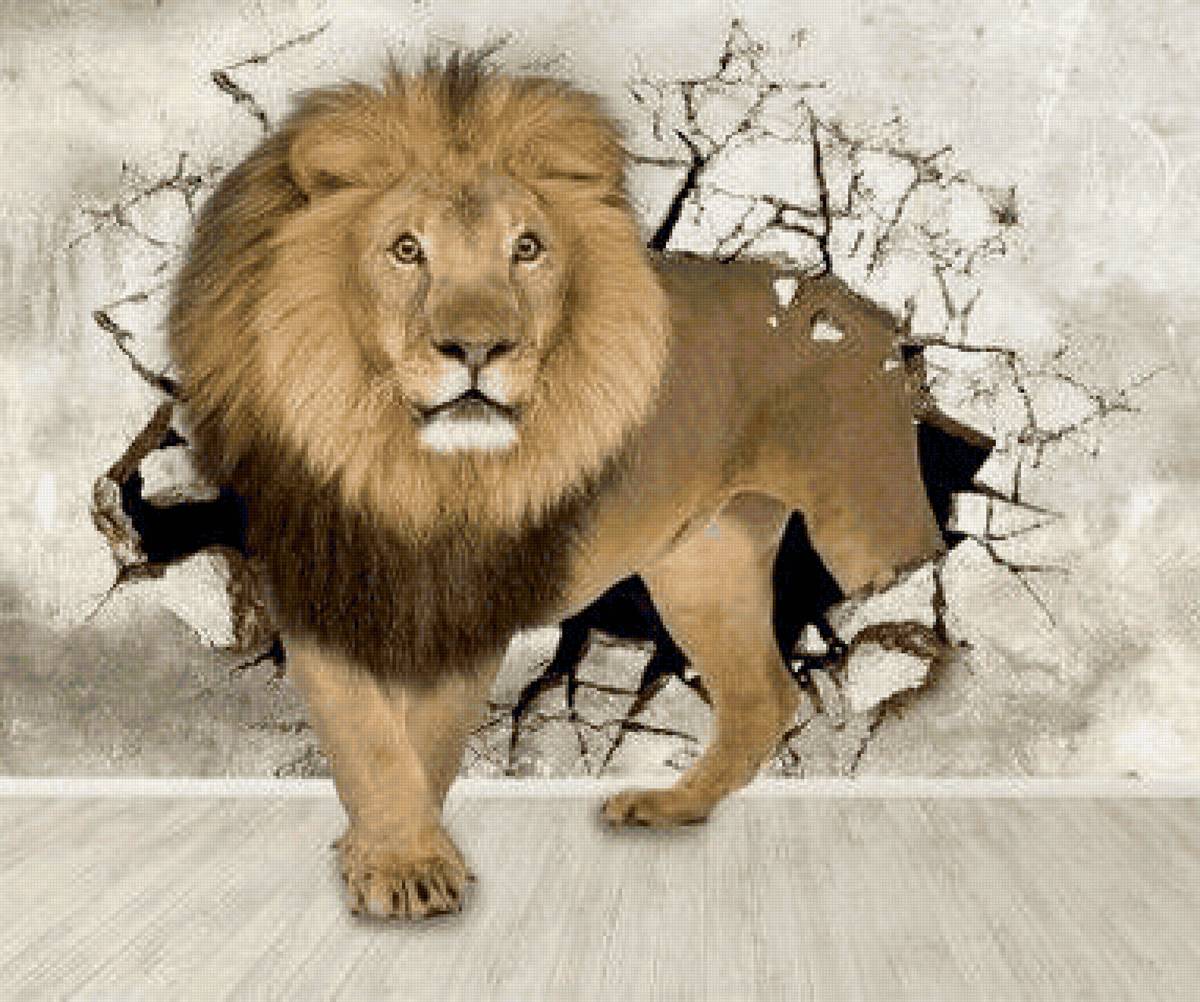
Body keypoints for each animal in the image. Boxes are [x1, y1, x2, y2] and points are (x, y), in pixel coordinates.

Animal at [169, 51, 944, 920]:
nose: (478, 347)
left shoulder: (475, 599)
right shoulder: (315, 579)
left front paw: (407, 864)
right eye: (406, 250)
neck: (407, 466)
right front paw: (390, 858)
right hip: (702, 562)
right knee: (762, 698)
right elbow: (365, 734)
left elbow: (426, 737)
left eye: (528, 248)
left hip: (869, 531)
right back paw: (673, 807)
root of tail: (872, 315)